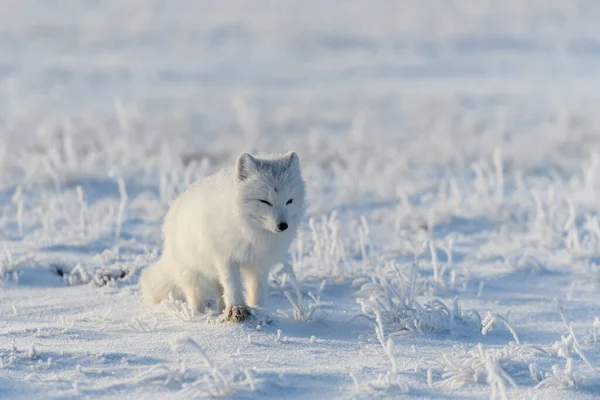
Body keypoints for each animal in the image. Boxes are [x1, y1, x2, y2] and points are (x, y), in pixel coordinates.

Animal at [141, 152, 304, 322]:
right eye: (264, 201)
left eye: (289, 201)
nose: (283, 225)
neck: (251, 233)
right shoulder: (225, 258)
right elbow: (233, 286)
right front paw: (236, 307)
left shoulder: (260, 263)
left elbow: (257, 291)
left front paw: (259, 310)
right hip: (195, 276)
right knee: (195, 297)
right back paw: (196, 315)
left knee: (220, 292)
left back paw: (221, 310)